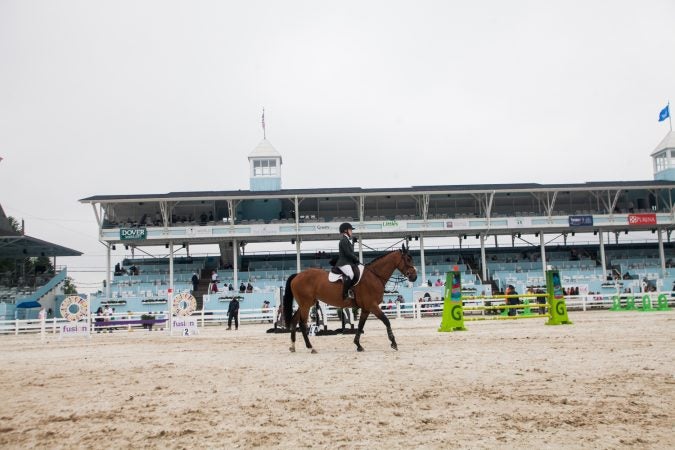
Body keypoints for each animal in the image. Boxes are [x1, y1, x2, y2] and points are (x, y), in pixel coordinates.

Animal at [282, 244, 418, 354]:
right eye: (408, 259)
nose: (414, 277)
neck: (375, 275)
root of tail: (297, 275)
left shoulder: (366, 308)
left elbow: (360, 325)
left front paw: (358, 345)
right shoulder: (372, 305)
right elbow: (386, 321)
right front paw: (394, 343)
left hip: (305, 304)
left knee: (294, 320)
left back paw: (293, 346)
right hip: (306, 304)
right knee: (302, 324)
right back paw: (311, 348)